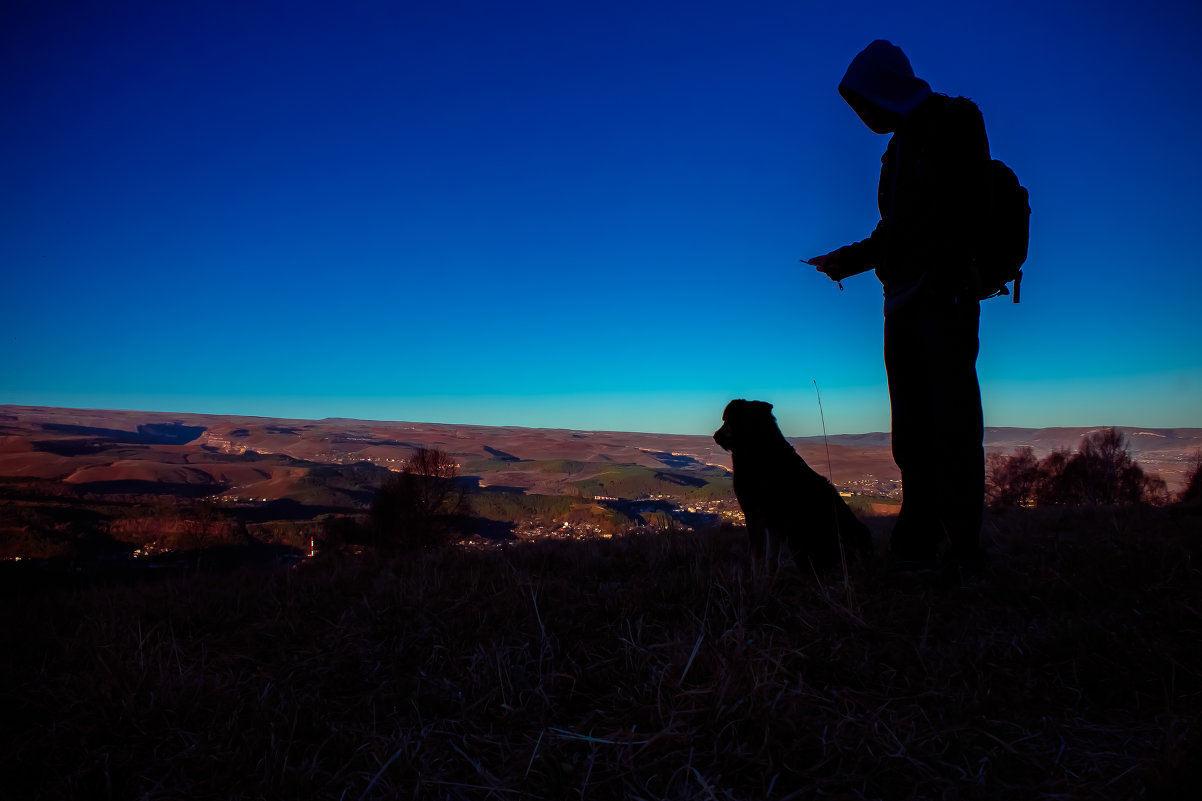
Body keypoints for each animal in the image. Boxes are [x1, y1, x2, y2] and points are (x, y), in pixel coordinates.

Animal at [711, 399, 875, 574]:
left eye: (727, 420)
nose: (714, 436)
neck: (760, 448)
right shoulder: (772, 523)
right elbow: (771, 559)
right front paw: (769, 577)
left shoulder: (755, 515)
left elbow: (757, 558)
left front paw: (757, 579)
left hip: (798, 538)